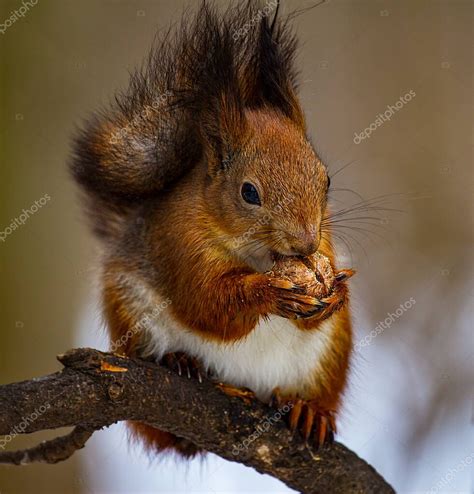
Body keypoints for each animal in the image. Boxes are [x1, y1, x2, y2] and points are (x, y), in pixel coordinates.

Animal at [69, 1, 352, 460]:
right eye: (249, 192)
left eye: (325, 180)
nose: (305, 242)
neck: (258, 255)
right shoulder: (181, 245)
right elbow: (208, 303)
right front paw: (267, 293)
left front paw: (337, 290)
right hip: (131, 315)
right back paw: (178, 362)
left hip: (329, 356)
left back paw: (310, 410)